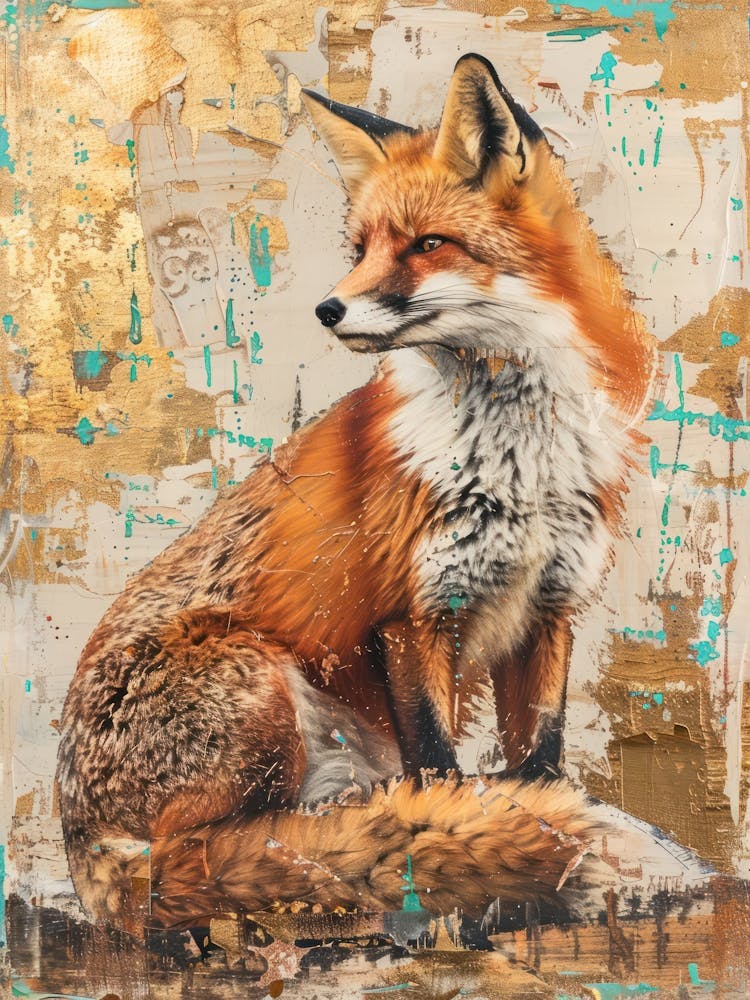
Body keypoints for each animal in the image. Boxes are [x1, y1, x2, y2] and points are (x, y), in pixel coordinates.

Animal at [56, 54, 654, 932]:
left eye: (429, 244)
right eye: (362, 246)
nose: (327, 308)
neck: (520, 459)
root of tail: (76, 837)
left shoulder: (550, 609)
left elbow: (541, 759)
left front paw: (526, 845)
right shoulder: (410, 614)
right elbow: (440, 769)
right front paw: (463, 853)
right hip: (256, 676)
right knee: (199, 857)